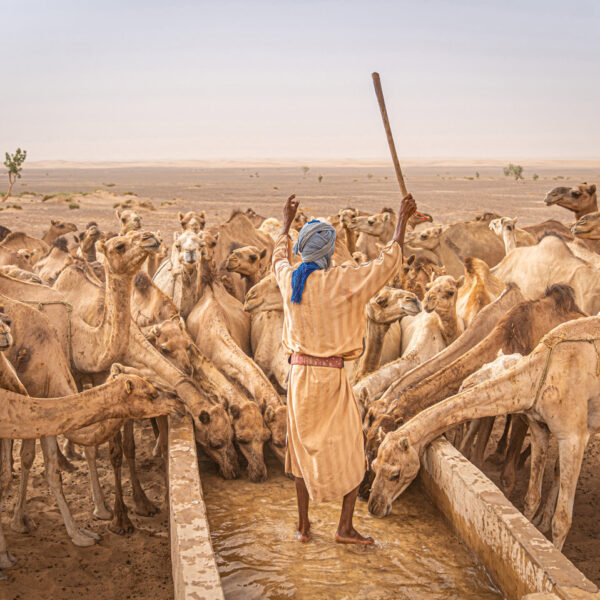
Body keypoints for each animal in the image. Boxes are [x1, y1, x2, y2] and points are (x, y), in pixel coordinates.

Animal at [368, 316, 600, 552]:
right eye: (375, 466)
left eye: (395, 474)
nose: (373, 506)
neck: (541, 376)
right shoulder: (539, 428)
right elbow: (531, 499)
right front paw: (535, 530)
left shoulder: (573, 436)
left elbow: (562, 520)